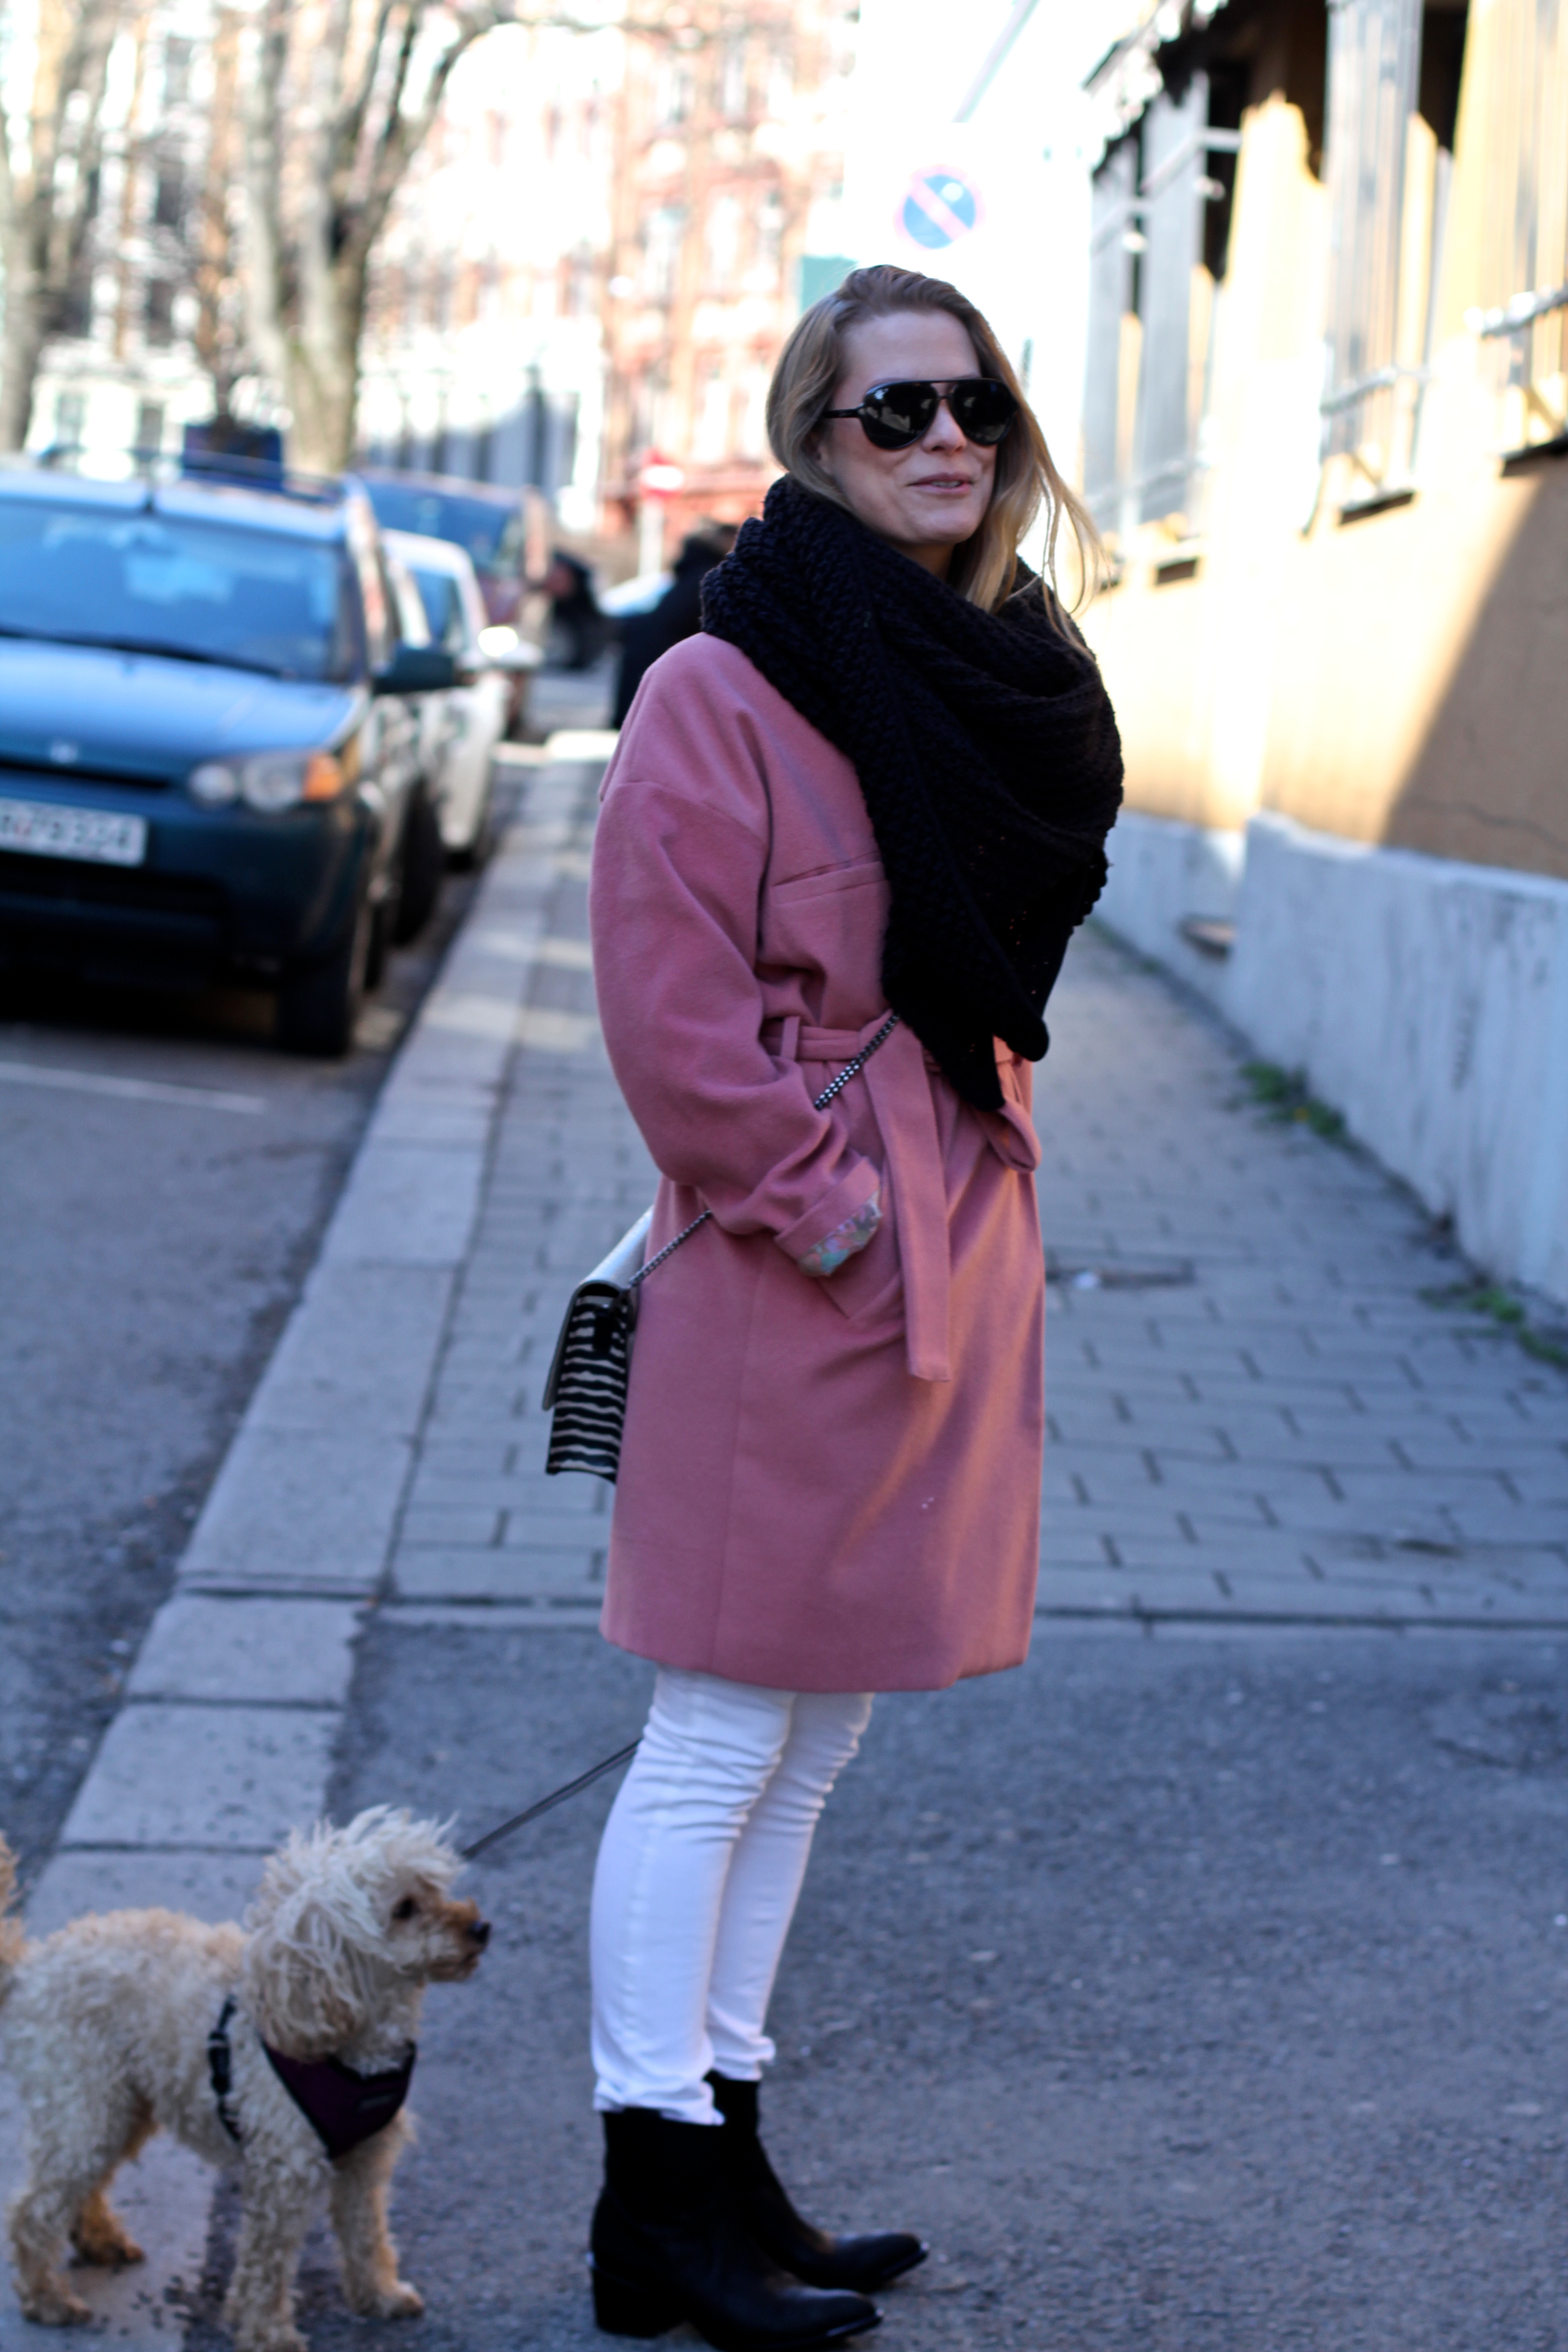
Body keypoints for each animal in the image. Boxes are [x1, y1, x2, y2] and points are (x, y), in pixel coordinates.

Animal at [0, 1808, 488, 2352]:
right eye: (404, 1909)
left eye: (436, 1889)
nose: (481, 1927)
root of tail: (28, 1968)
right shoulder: (284, 2170)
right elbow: (265, 2264)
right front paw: (268, 2333)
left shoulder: (366, 2159)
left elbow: (367, 2234)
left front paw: (380, 2296)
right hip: (85, 2105)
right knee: (33, 2212)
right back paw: (47, 2300)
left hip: (120, 2107)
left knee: (80, 2189)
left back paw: (100, 2242)